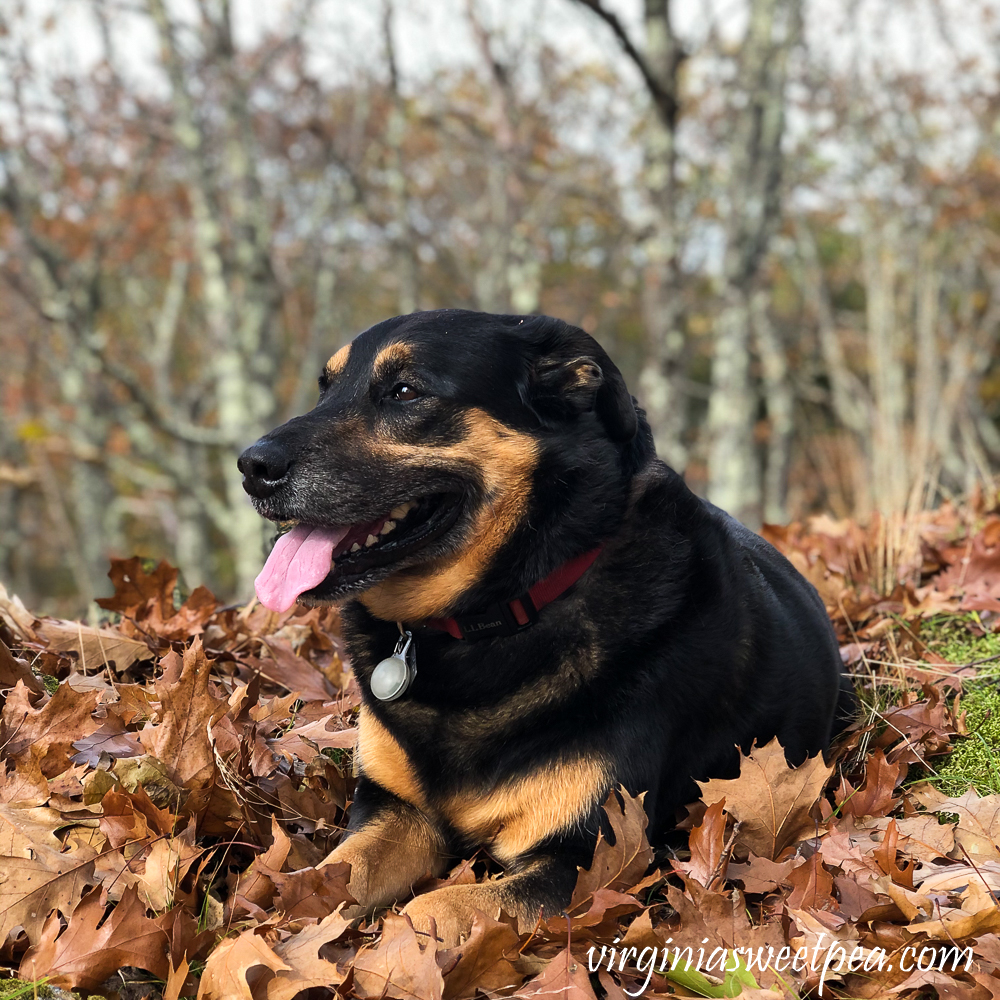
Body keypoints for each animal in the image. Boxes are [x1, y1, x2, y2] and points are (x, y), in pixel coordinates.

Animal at [236, 310, 852, 944]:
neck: (493, 614)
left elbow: (435, 909)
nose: (252, 467)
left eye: (405, 391)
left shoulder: (582, 856)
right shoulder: (392, 809)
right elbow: (336, 871)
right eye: (325, 388)